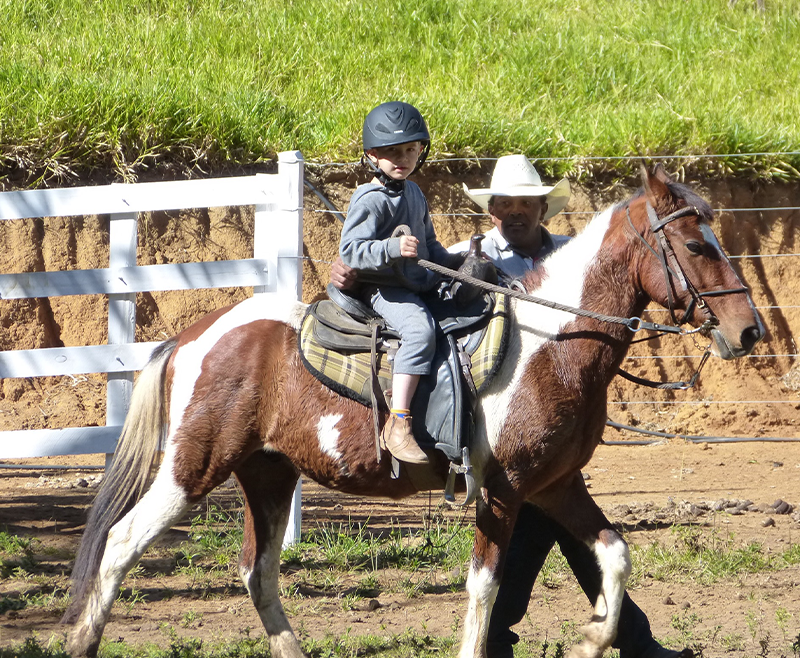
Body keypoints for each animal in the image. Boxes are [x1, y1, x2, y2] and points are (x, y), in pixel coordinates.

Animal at [62, 167, 764, 656]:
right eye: (696, 246)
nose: (750, 330)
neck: (549, 345)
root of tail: (191, 336)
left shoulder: (557, 485)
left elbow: (614, 555)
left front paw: (591, 640)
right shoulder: (504, 489)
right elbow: (485, 586)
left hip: (267, 473)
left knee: (257, 573)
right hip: (193, 467)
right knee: (120, 544)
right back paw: (83, 640)